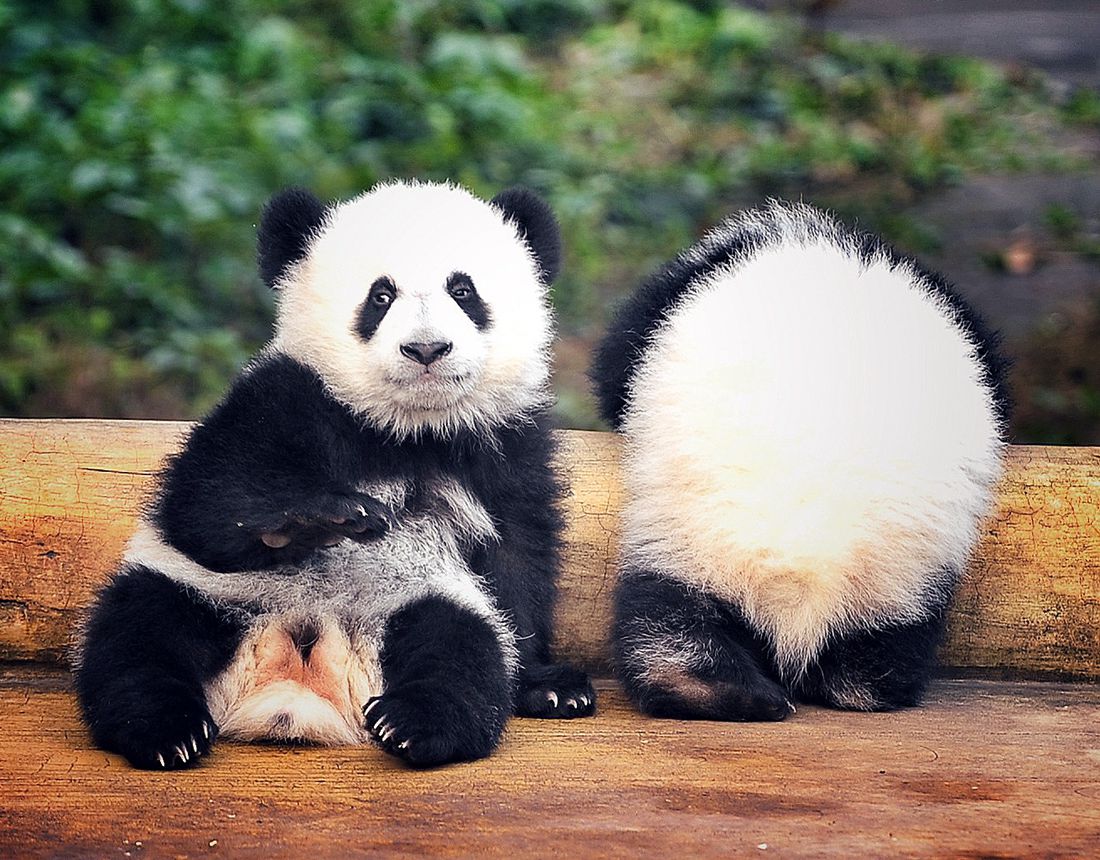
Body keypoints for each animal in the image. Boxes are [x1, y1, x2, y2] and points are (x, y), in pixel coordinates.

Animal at [75, 180, 596, 770]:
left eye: (463, 291)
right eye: (380, 297)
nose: (426, 349)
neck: (410, 429)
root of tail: (293, 676)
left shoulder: (505, 443)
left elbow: (517, 557)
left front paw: (548, 686)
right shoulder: (286, 395)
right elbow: (204, 501)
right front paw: (313, 520)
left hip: (413, 601)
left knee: (461, 651)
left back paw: (412, 724)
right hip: (202, 593)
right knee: (137, 636)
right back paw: (167, 731)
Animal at [591, 201, 1007, 720]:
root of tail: (804, 589)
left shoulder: (665, 308)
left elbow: (616, 364)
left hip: (697, 540)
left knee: (666, 618)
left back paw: (704, 687)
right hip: (896, 586)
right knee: (880, 657)